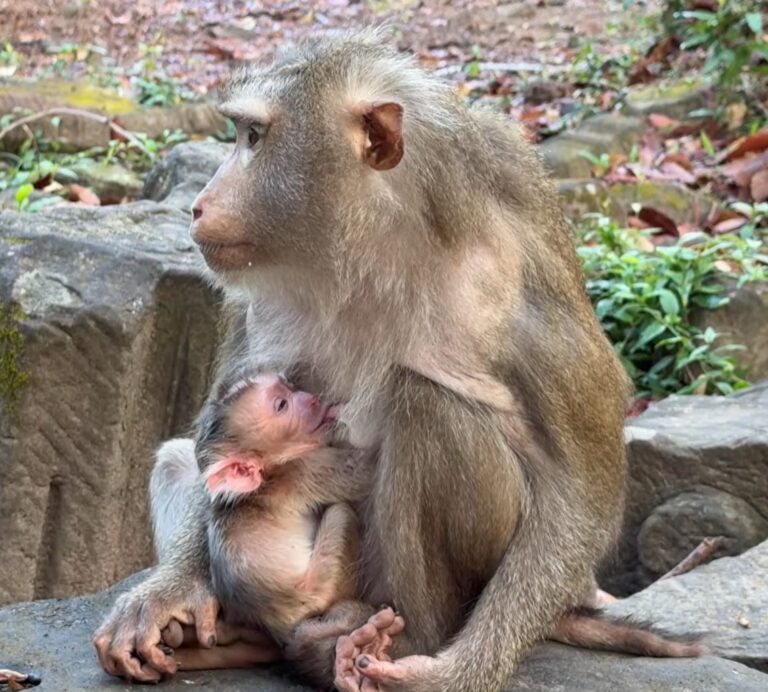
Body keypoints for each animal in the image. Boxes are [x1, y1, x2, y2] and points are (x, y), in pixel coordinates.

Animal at [94, 30, 700, 691]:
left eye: (253, 138)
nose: (199, 205)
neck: (375, 241)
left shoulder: (512, 263)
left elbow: (581, 487)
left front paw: (459, 672)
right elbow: (210, 436)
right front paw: (168, 593)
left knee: (428, 404)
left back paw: (374, 643)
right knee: (176, 460)